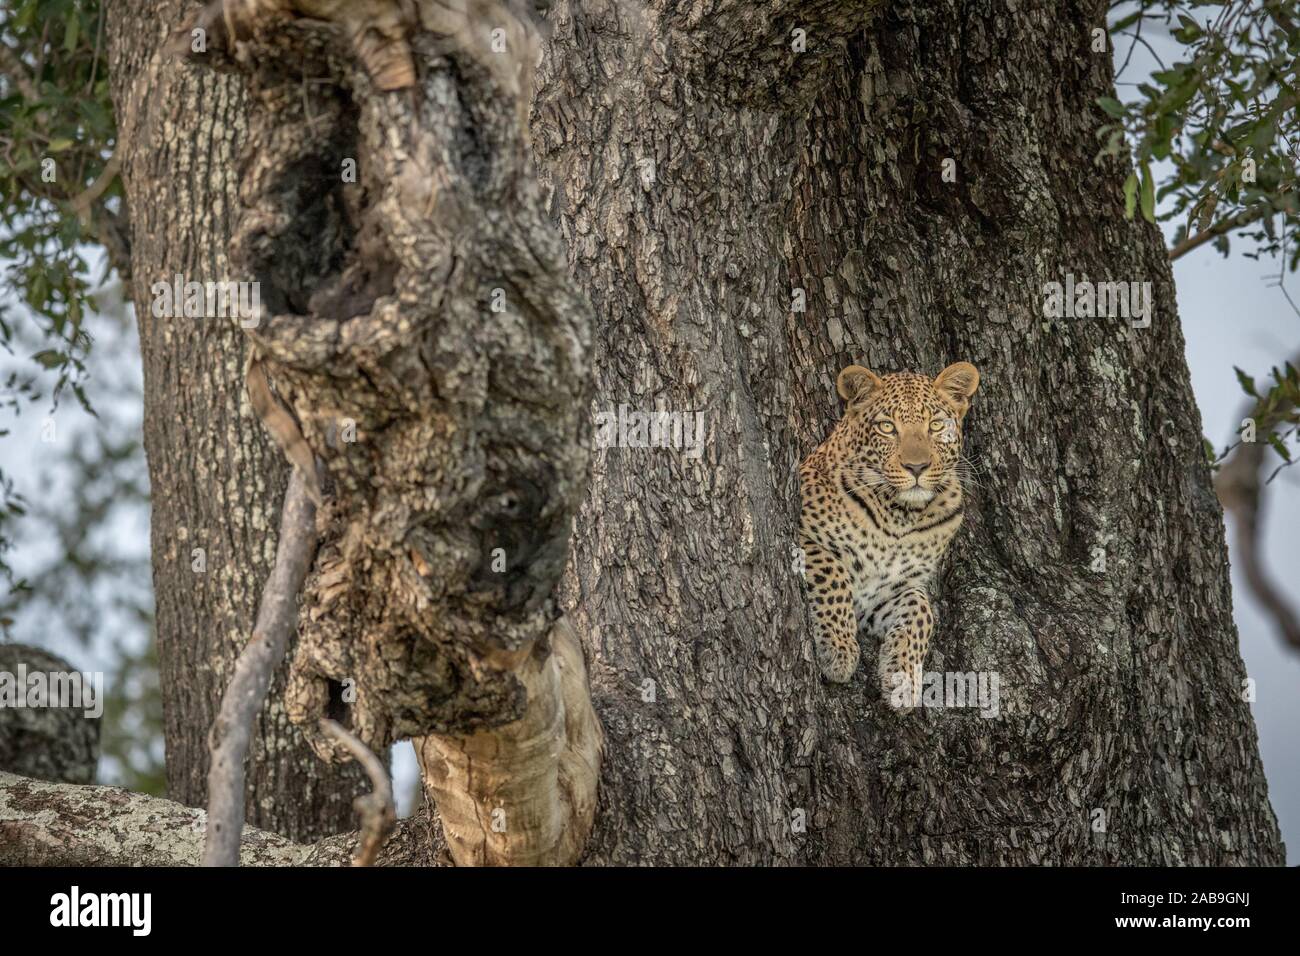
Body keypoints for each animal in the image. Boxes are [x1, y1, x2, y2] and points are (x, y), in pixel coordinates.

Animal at [798, 361, 980, 707]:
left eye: (936, 425)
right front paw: (839, 652)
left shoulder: (892, 588)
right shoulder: (804, 537)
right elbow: (834, 576)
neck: (899, 519)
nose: (917, 467)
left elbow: (921, 611)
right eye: (886, 427)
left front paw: (903, 680)